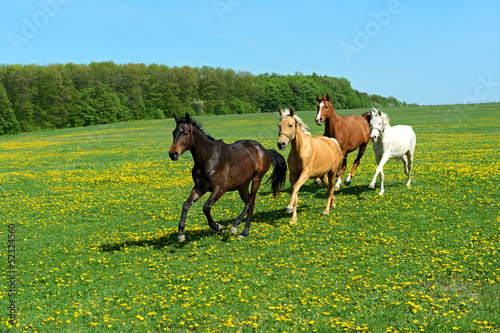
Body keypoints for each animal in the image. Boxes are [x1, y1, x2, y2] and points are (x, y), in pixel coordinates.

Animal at [169, 113, 288, 241]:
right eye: (173, 132)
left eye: (186, 133)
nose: (173, 154)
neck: (209, 158)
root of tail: (264, 150)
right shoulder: (199, 188)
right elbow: (186, 205)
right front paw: (180, 234)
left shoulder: (220, 188)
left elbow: (206, 207)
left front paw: (217, 226)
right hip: (242, 185)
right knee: (250, 203)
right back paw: (245, 232)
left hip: (257, 178)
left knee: (249, 202)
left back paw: (235, 225)